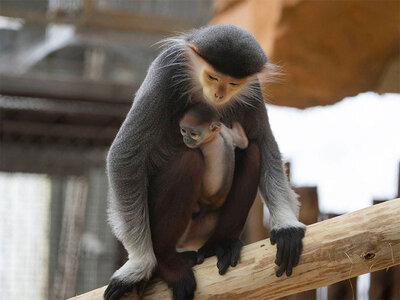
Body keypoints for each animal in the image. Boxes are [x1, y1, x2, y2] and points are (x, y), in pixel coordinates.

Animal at [104, 24, 304, 298]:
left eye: (233, 83)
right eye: (212, 77)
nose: (219, 94)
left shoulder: (253, 89)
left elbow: (264, 143)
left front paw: (286, 225)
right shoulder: (166, 72)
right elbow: (126, 154)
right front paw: (139, 265)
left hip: (208, 225)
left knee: (253, 152)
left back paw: (220, 245)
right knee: (187, 160)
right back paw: (167, 262)